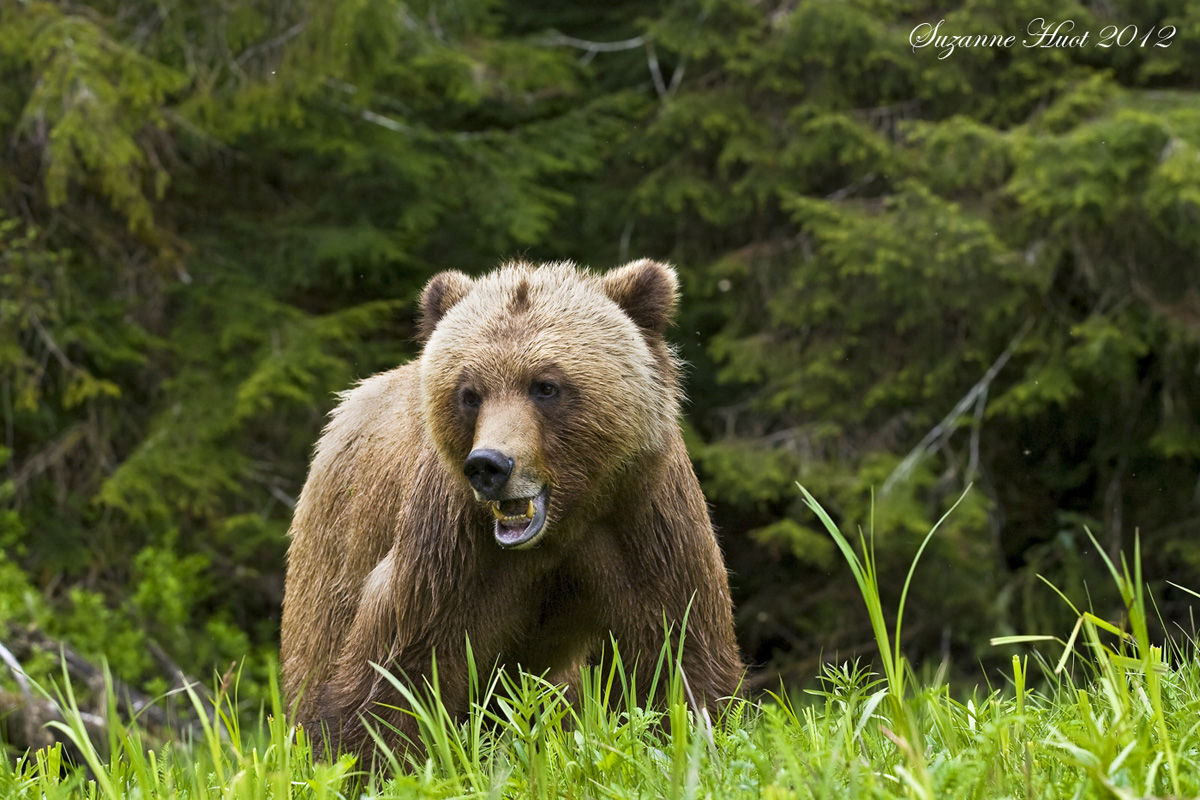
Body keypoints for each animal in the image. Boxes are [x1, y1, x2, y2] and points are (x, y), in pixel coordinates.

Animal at [280, 259, 742, 761]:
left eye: (546, 385)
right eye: (469, 393)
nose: (489, 465)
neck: (565, 523)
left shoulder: (643, 517)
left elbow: (680, 650)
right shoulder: (451, 549)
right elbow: (400, 667)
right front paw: (370, 755)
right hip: (333, 550)